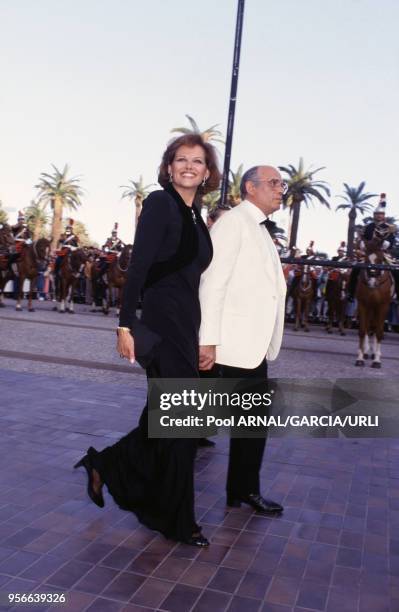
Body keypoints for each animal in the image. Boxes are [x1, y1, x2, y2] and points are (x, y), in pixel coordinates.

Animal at [356, 237, 394, 366]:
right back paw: (366, 351)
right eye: (366, 259)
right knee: (369, 328)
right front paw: (360, 358)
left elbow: (379, 332)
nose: (372, 282)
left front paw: (377, 360)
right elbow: (363, 330)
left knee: (373, 328)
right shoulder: (363, 304)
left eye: (381, 259)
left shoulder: (383, 306)